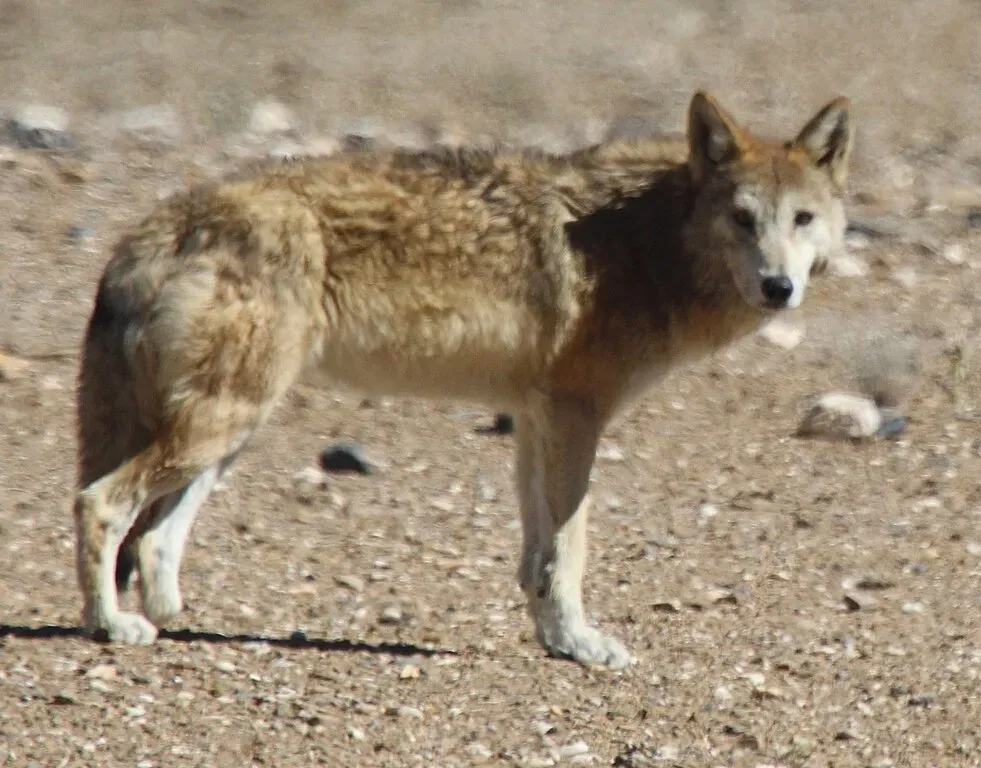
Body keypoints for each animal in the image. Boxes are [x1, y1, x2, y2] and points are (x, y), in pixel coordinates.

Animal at [74, 88, 848, 664]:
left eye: (802, 219)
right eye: (742, 219)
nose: (779, 287)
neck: (647, 238)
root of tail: (156, 226)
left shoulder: (537, 419)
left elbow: (538, 555)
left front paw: (554, 640)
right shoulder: (576, 416)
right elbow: (569, 550)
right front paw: (582, 645)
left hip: (229, 431)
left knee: (153, 536)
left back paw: (167, 617)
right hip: (221, 423)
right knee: (99, 503)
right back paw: (109, 626)